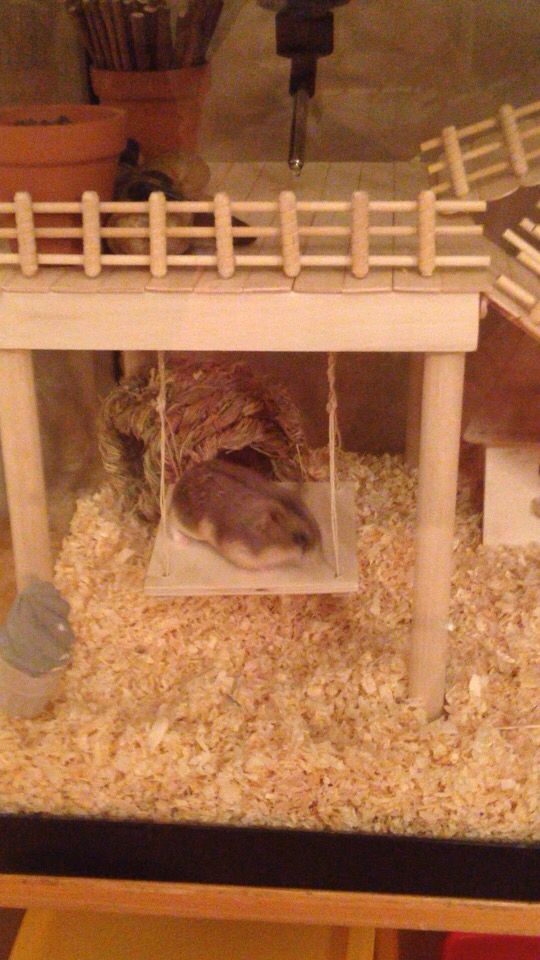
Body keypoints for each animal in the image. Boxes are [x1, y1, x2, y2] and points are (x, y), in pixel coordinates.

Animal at [169, 460, 320, 568]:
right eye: (298, 538)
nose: (318, 557)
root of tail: (180, 481)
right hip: (185, 523)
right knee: (171, 522)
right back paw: (183, 542)